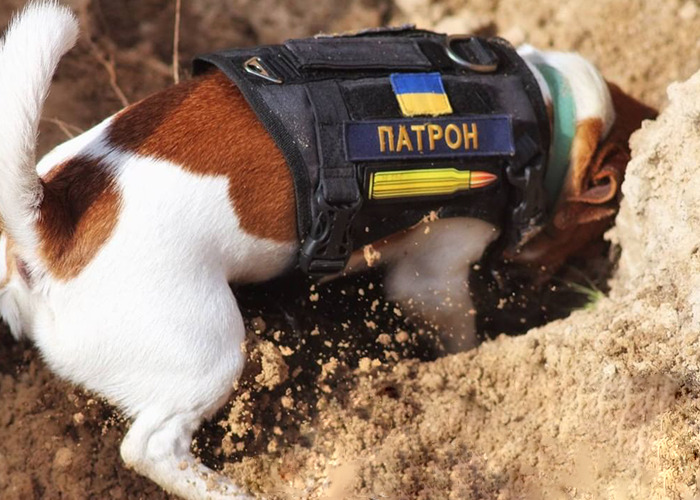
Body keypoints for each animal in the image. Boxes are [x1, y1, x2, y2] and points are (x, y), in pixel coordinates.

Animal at [0, 2, 655, 499]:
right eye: (600, 230)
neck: (542, 110)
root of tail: (52, 223)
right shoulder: (434, 275)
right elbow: (458, 337)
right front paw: (468, 367)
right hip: (207, 354)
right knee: (151, 446)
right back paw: (231, 492)